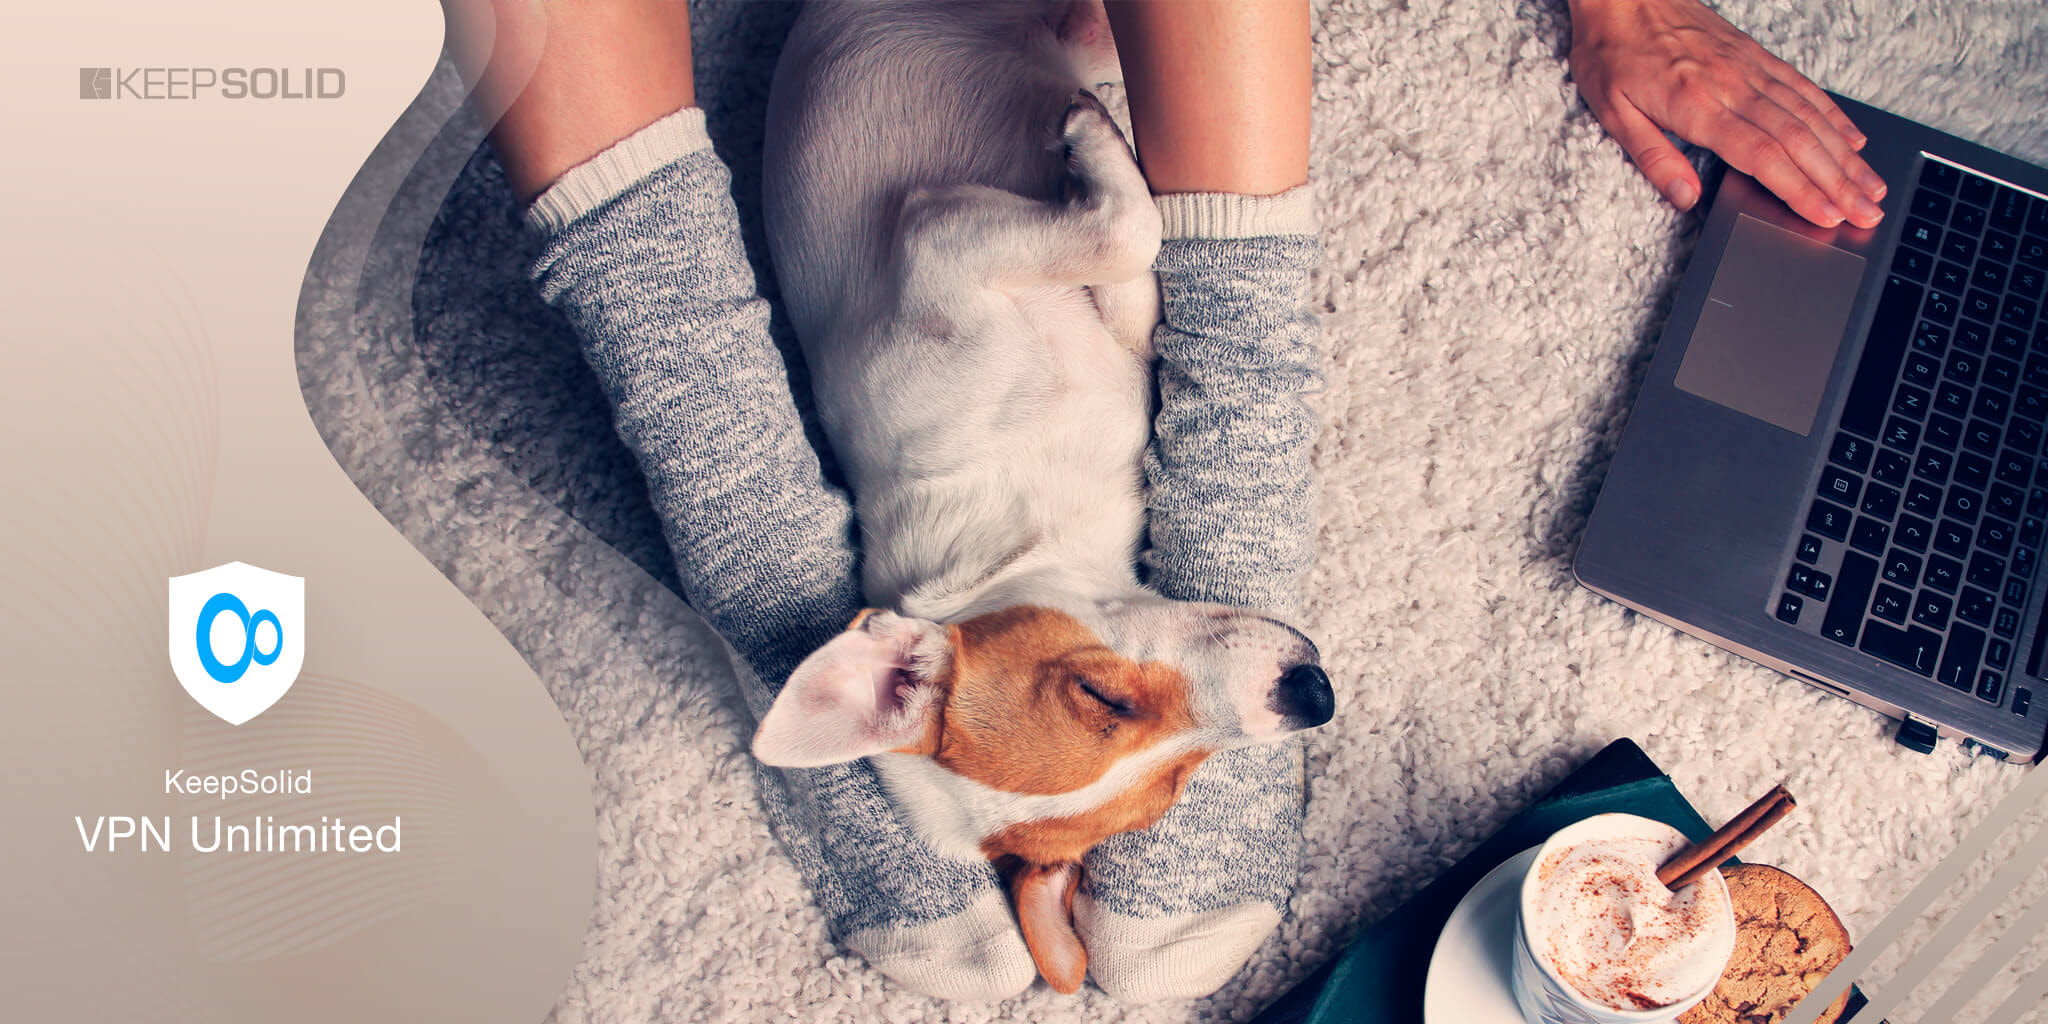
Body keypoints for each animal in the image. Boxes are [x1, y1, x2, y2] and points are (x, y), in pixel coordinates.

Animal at [761, 0, 1335, 991]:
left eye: (1097, 692)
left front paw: (1098, 152)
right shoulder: (941, 237)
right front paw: (1097, 150)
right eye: (1169, 791)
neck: (1018, 526)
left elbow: (1140, 278)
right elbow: (1126, 237)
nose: (1314, 695)